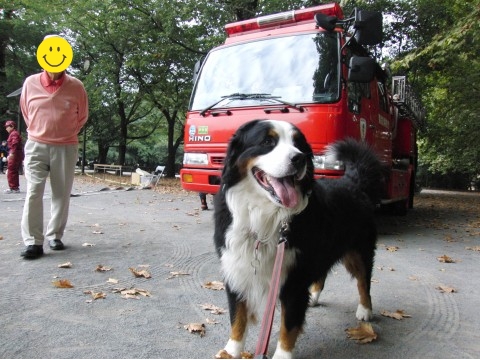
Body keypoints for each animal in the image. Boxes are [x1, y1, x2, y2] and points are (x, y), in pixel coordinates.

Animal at [214, 120, 386, 358]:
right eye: (267, 142)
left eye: (298, 145)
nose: (299, 158)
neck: (265, 218)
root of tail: (352, 181)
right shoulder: (236, 269)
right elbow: (237, 317)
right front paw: (232, 351)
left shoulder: (294, 278)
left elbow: (288, 326)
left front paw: (282, 355)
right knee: (322, 273)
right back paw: (313, 296)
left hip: (358, 251)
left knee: (363, 280)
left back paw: (365, 310)